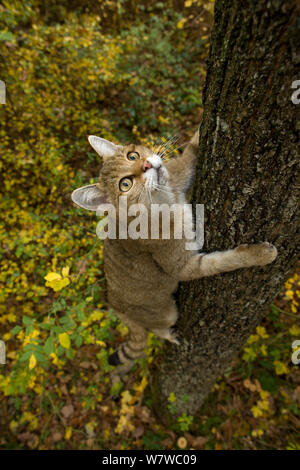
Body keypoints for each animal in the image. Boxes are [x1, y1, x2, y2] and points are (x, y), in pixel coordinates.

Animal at [71, 129, 278, 378]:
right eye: (125, 184)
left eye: (132, 156)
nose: (147, 164)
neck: (167, 200)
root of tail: (114, 305)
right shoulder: (183, 265)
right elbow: (224, 260)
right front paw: (261, 254)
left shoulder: (180, 170)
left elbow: (192, 147)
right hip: (167, 312)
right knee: (155, 328)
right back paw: (169, 335)